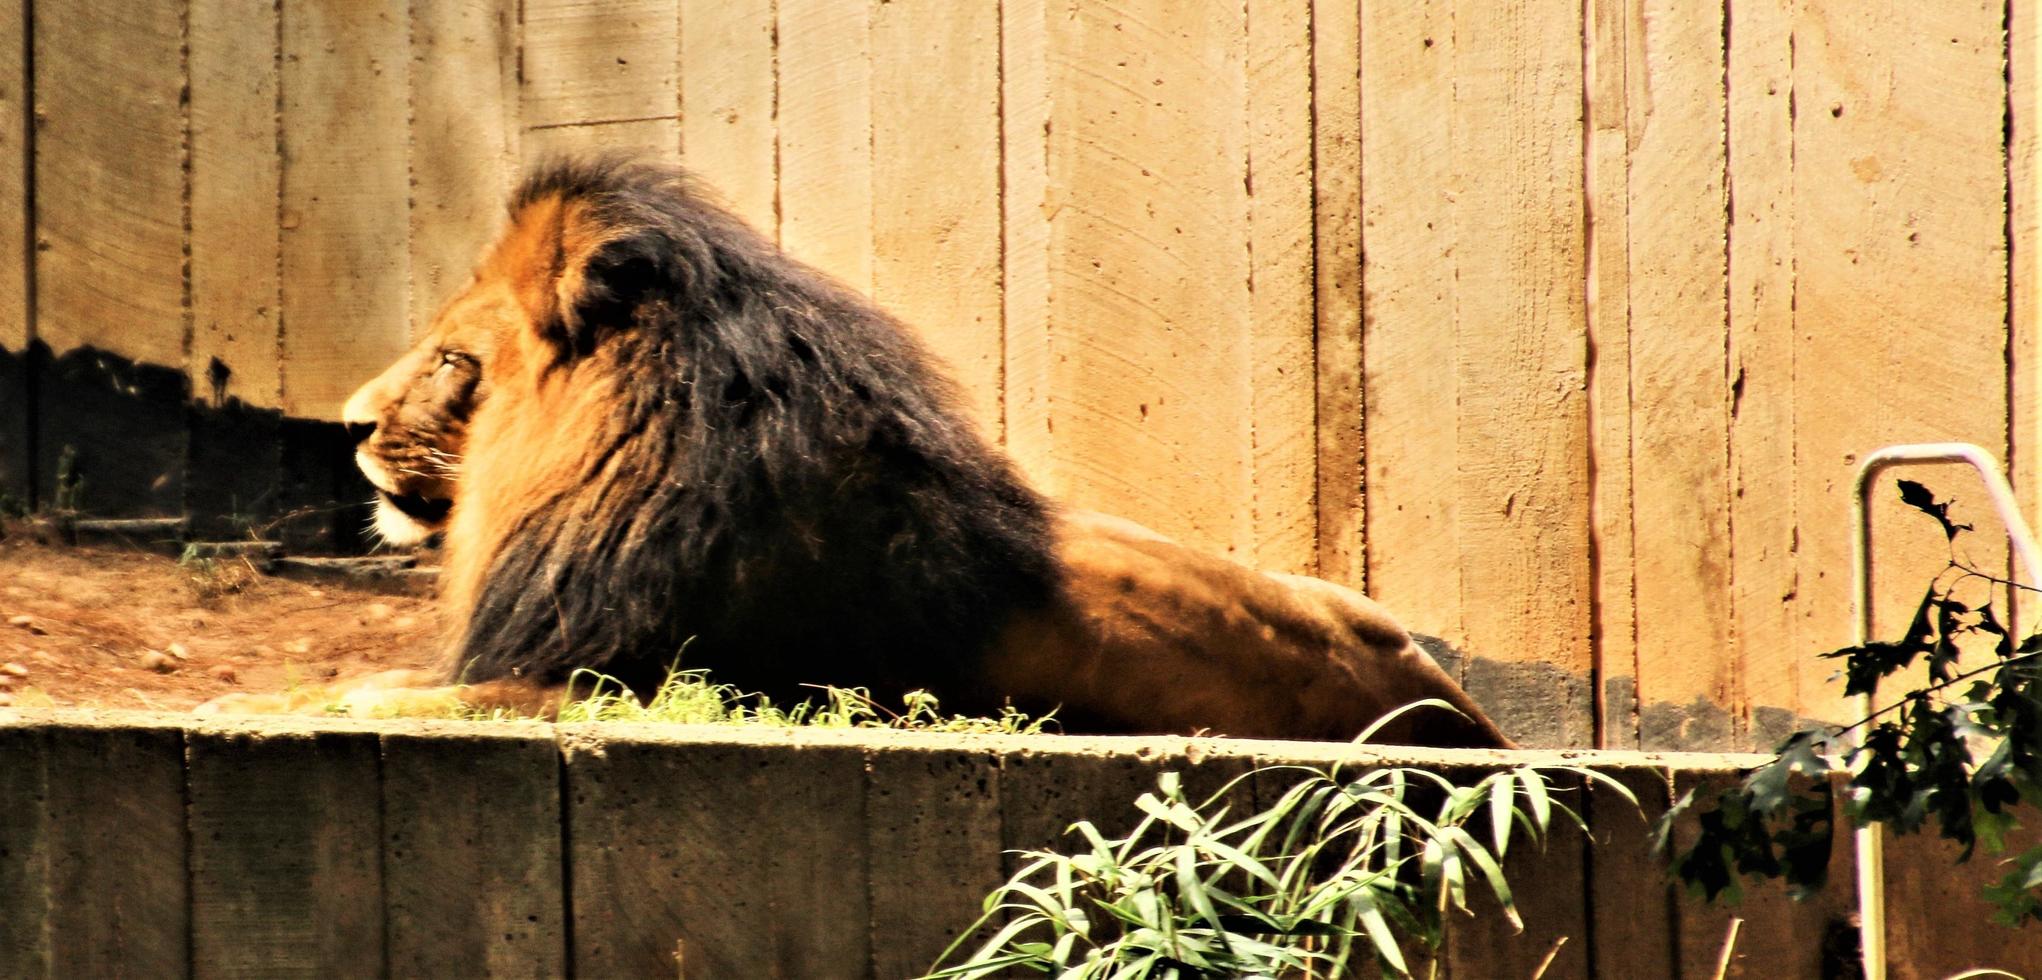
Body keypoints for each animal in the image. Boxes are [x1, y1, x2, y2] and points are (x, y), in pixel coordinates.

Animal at [203, 157, 1519, 747]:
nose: (348, 423)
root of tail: (1468, 717)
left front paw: (256, 695)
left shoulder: (621, 674)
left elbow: (372, 687)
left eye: (448, 359)